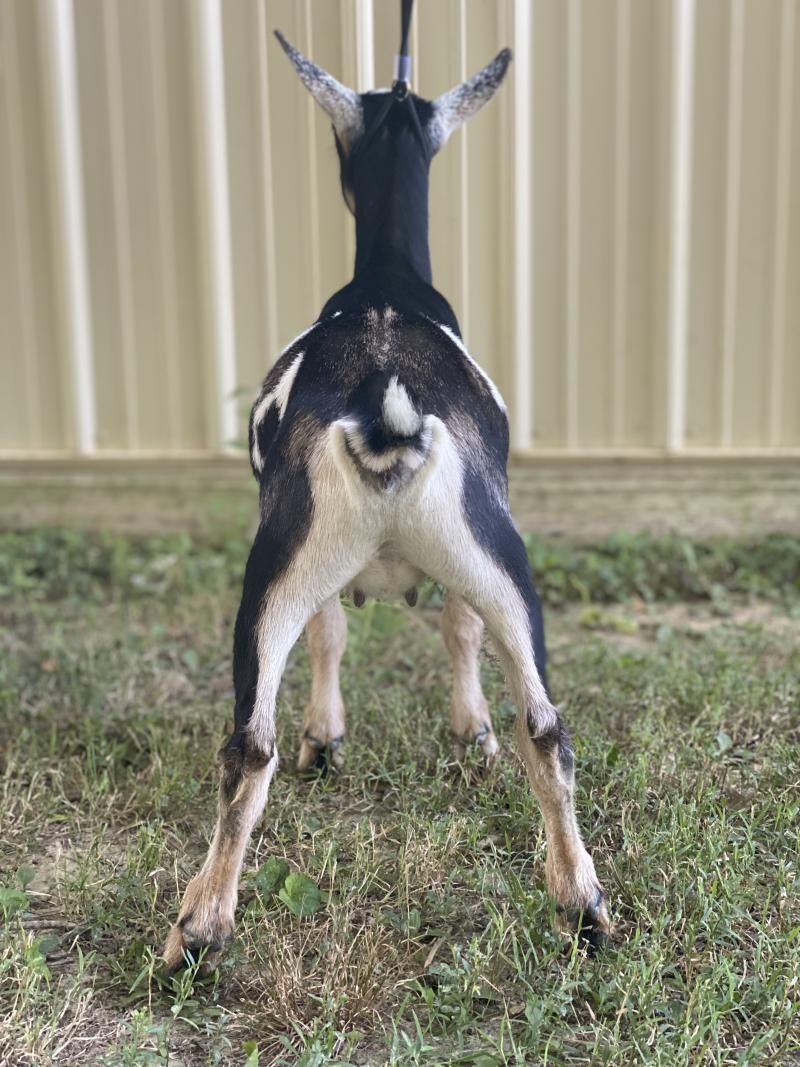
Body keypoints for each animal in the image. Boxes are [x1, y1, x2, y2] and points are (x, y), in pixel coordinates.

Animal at [163, 32, 610, 972]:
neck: (388, 280)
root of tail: (385, 399)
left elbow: (338, 631)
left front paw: (330, 735)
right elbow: (452, 630)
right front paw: (466, 733)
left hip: (284, 564)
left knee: (250, 738)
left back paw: (198, 925)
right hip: (496, 560)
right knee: (544, 725)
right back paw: (582, 902)